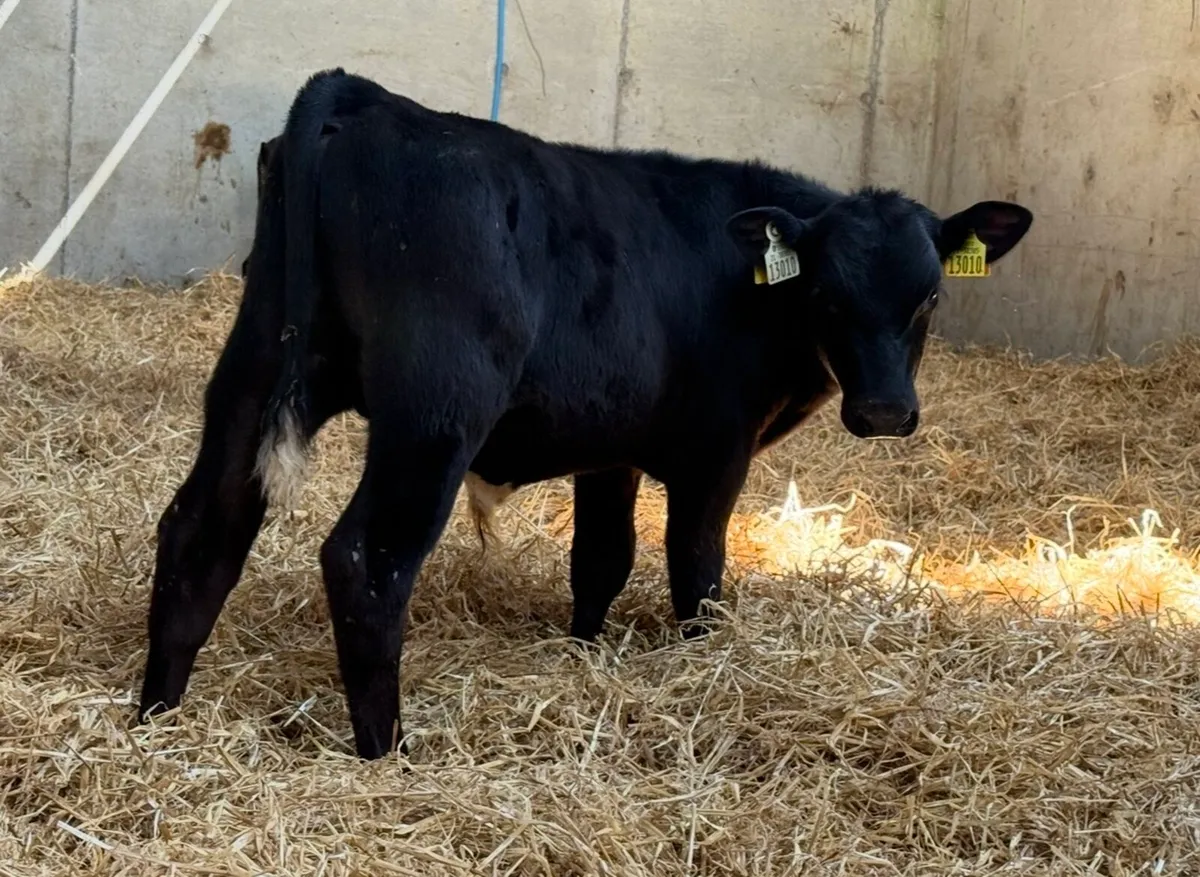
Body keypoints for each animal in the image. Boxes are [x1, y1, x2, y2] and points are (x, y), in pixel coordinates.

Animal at [139, 68, 1033, 759]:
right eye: (826, 294)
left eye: (931, 295)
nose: (884, 410)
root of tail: (365, 99)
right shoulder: (718, 449)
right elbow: (696, 567)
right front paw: (701, 660)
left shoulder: (614, 447)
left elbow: (601, 556)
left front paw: (584, 647)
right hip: (435, 411)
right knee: (368, 558)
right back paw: (386, 749)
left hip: (254, 371)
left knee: (202, 525)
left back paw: (157, 712)